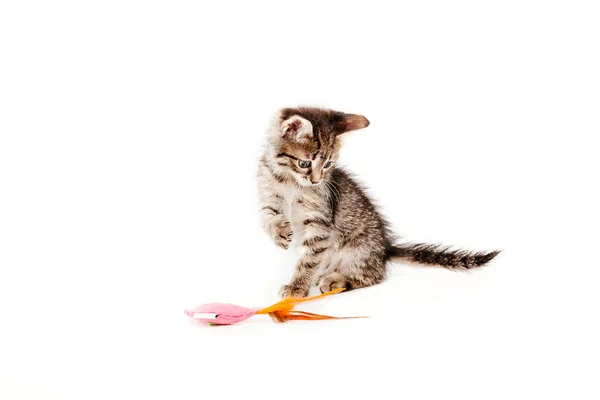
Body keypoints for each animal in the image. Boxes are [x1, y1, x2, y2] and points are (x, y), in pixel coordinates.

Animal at [255, 106, 500, 296]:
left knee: (372, 276)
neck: (289, 182)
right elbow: (266, 217)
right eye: (304, 163)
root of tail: (385, 249)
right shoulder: (269, 196)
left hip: (357, 249)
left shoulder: (320, 222)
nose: (317, 181)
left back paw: (337, 280)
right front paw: (278, 233)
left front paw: (297, 287)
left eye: (328, 165)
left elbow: (309, 258)